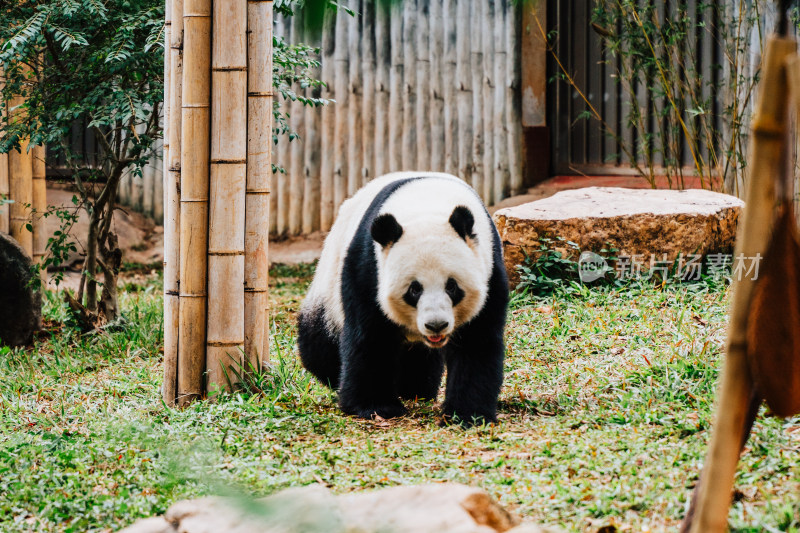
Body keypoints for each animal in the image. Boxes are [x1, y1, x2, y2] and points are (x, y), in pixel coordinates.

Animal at [296, 172, 510, 426]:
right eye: (414, 290)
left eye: (452, 287)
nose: (436, 325)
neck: (427, 205)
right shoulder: (369, 266)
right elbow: (370, 336)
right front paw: (375, 406)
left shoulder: (489, 268)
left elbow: (476, 340)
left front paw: (468, 414)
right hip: (329, 282)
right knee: (319, 342)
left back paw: (414, 389)